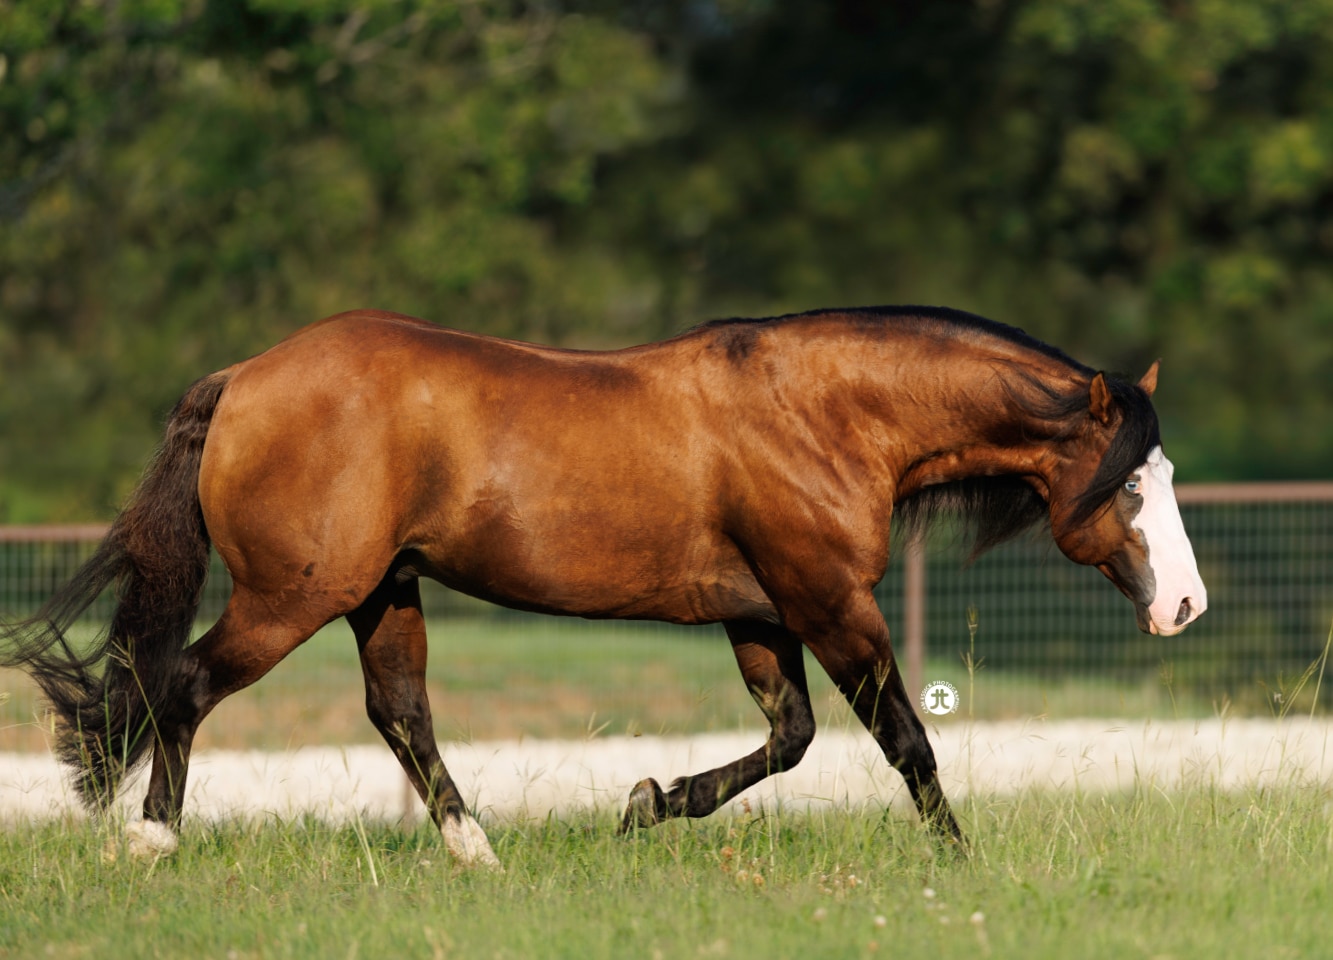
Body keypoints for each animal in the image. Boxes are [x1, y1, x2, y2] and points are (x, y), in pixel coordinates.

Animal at [2, 305, 1207, 867]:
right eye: (1129, 485)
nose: (1183, 607)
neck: (822, 415)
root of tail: (242, 378)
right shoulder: (828, 604)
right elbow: (905, 741)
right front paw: (958, 863)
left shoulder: (759, 615)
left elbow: (790, 739)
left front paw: (642, 806)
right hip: (291, 599)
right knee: (188, 687)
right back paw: (152, 841)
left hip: (382, 592)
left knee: (399, 713)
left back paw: (479, 854)